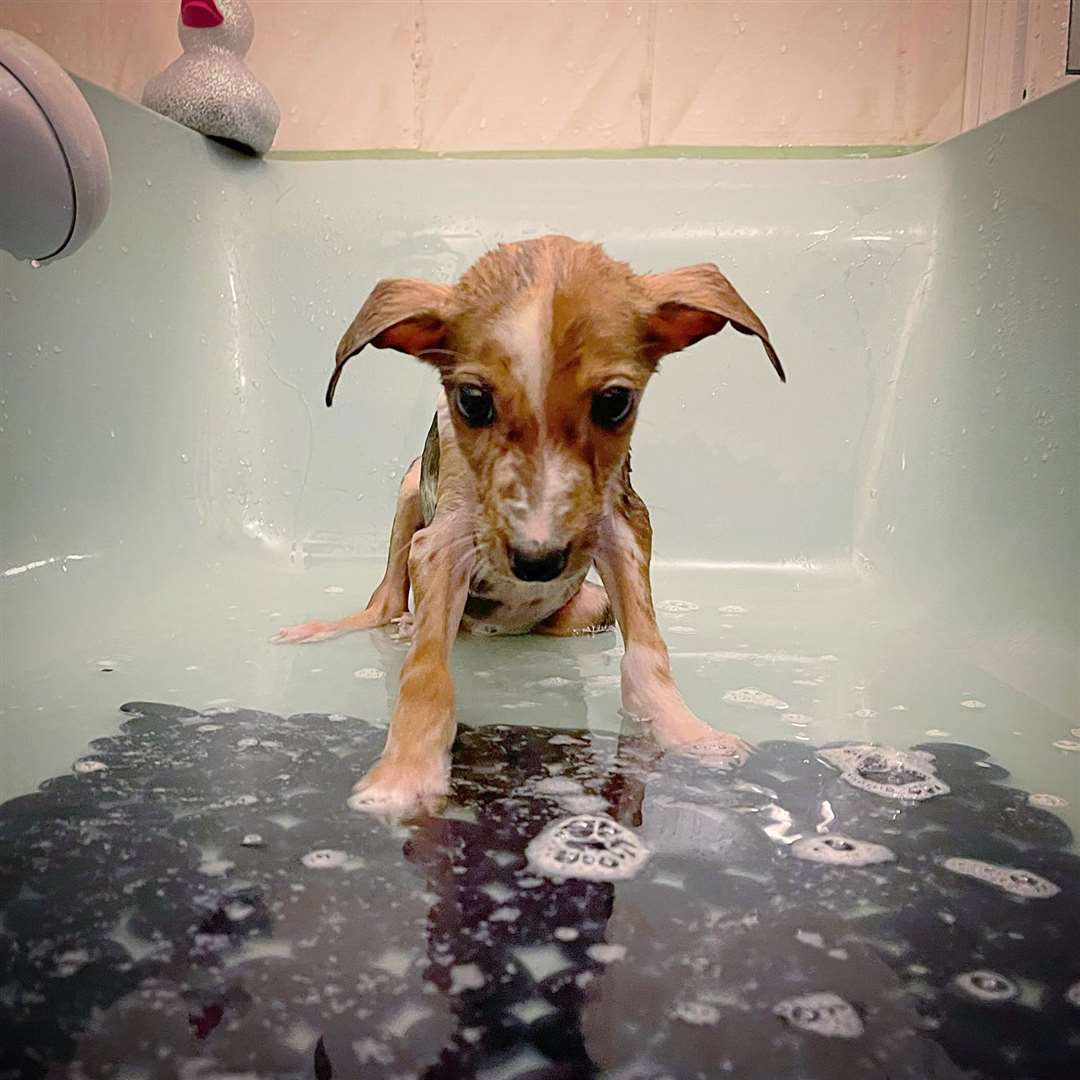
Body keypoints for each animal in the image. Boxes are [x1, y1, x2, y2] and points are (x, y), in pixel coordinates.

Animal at [276, 234, 786, 812]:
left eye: (615, 401)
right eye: (473, 401)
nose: (538, 562)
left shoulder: (621, 525)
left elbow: (647, 653)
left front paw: (687, 732)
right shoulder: (442, 542)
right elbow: (426, 675)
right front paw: (405, 774)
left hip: (587, 606)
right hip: (408, 492)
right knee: (384, 602)